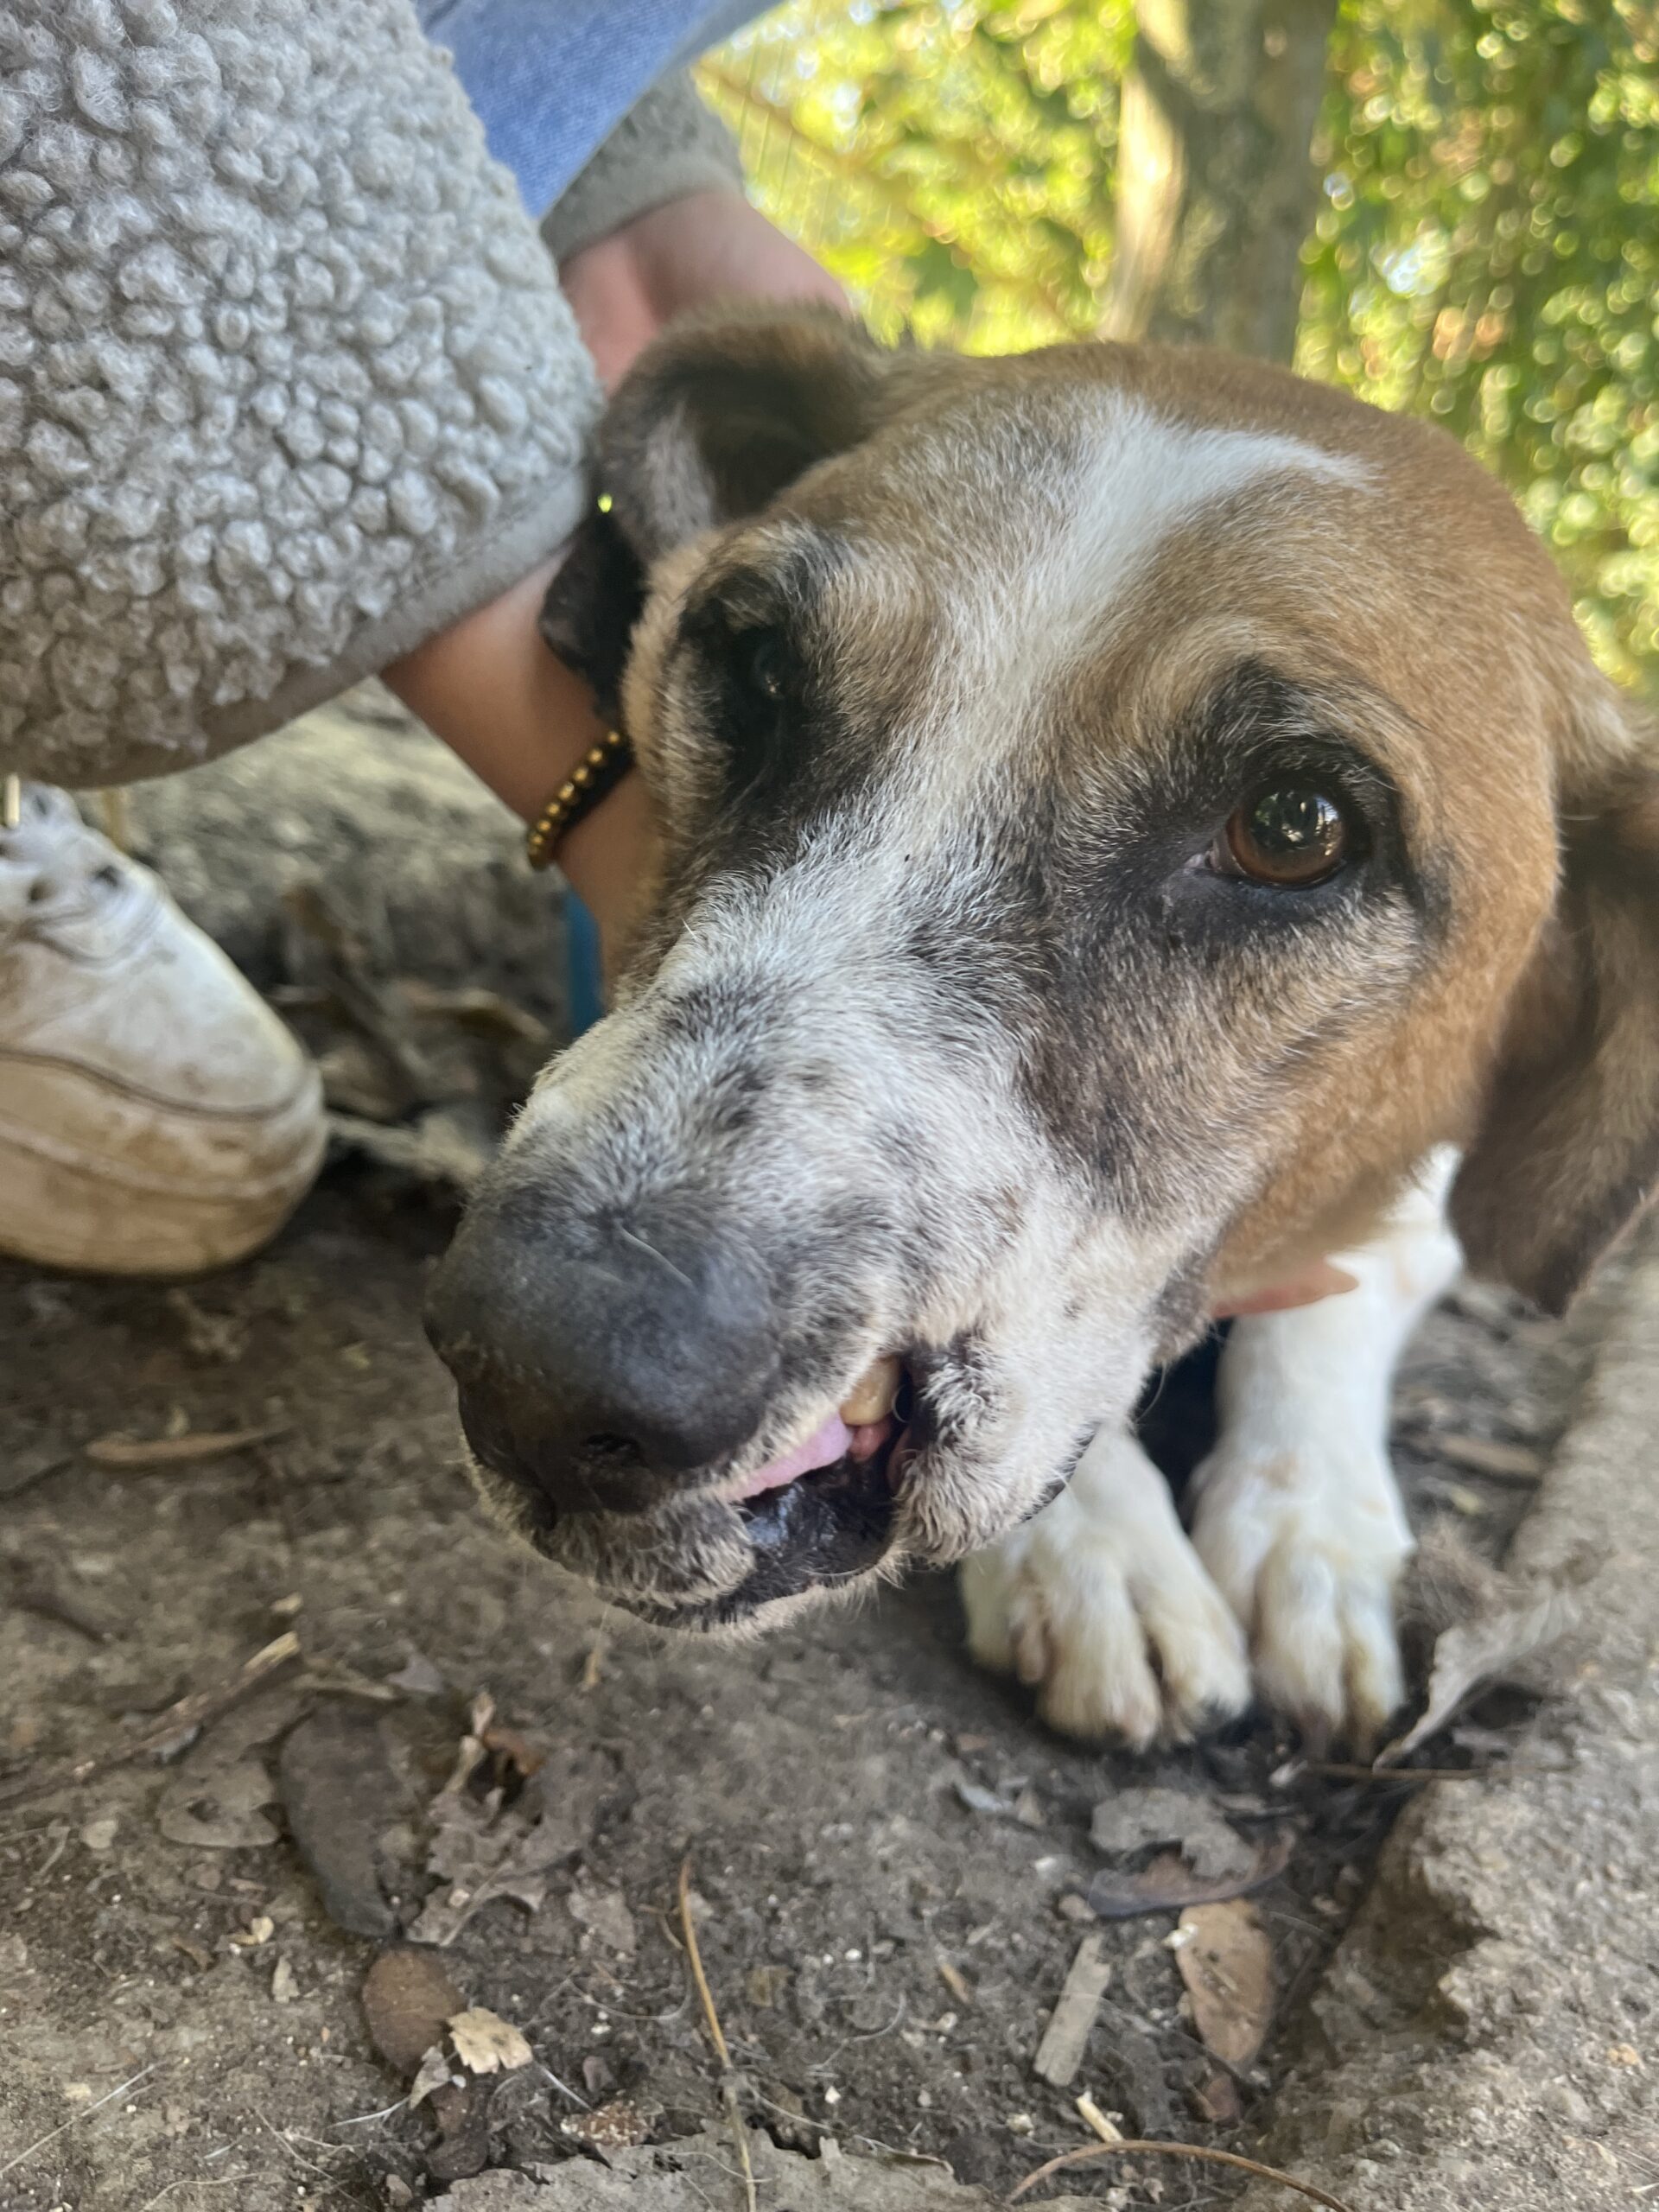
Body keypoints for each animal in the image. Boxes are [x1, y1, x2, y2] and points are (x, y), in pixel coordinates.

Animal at [425, 308, 1658, 1747]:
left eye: (1296, 827)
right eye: (760, 665)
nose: (535, 1367)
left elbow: (1337, 1310)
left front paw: (1315, 1534)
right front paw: (1104, 1549)